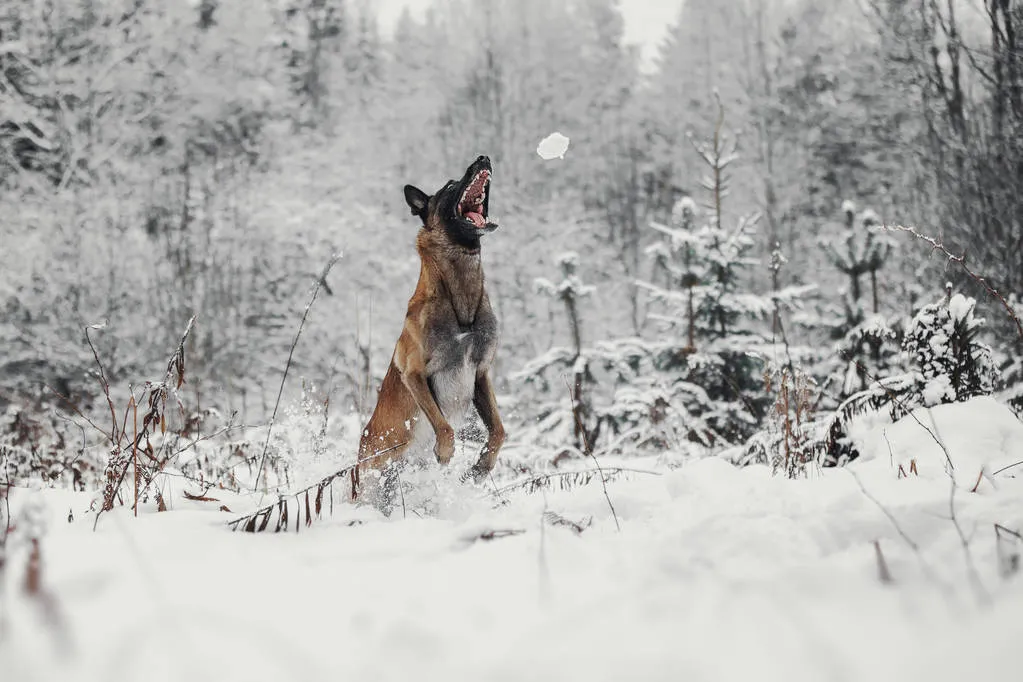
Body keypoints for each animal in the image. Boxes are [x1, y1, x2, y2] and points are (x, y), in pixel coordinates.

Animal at [356, 153, 507, 496]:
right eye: (450, 185)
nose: (483, 156)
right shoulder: (413, 373)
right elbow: (444, 426)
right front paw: (445, 452)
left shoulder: (480, 373)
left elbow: (499, 431)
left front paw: (481, 466)